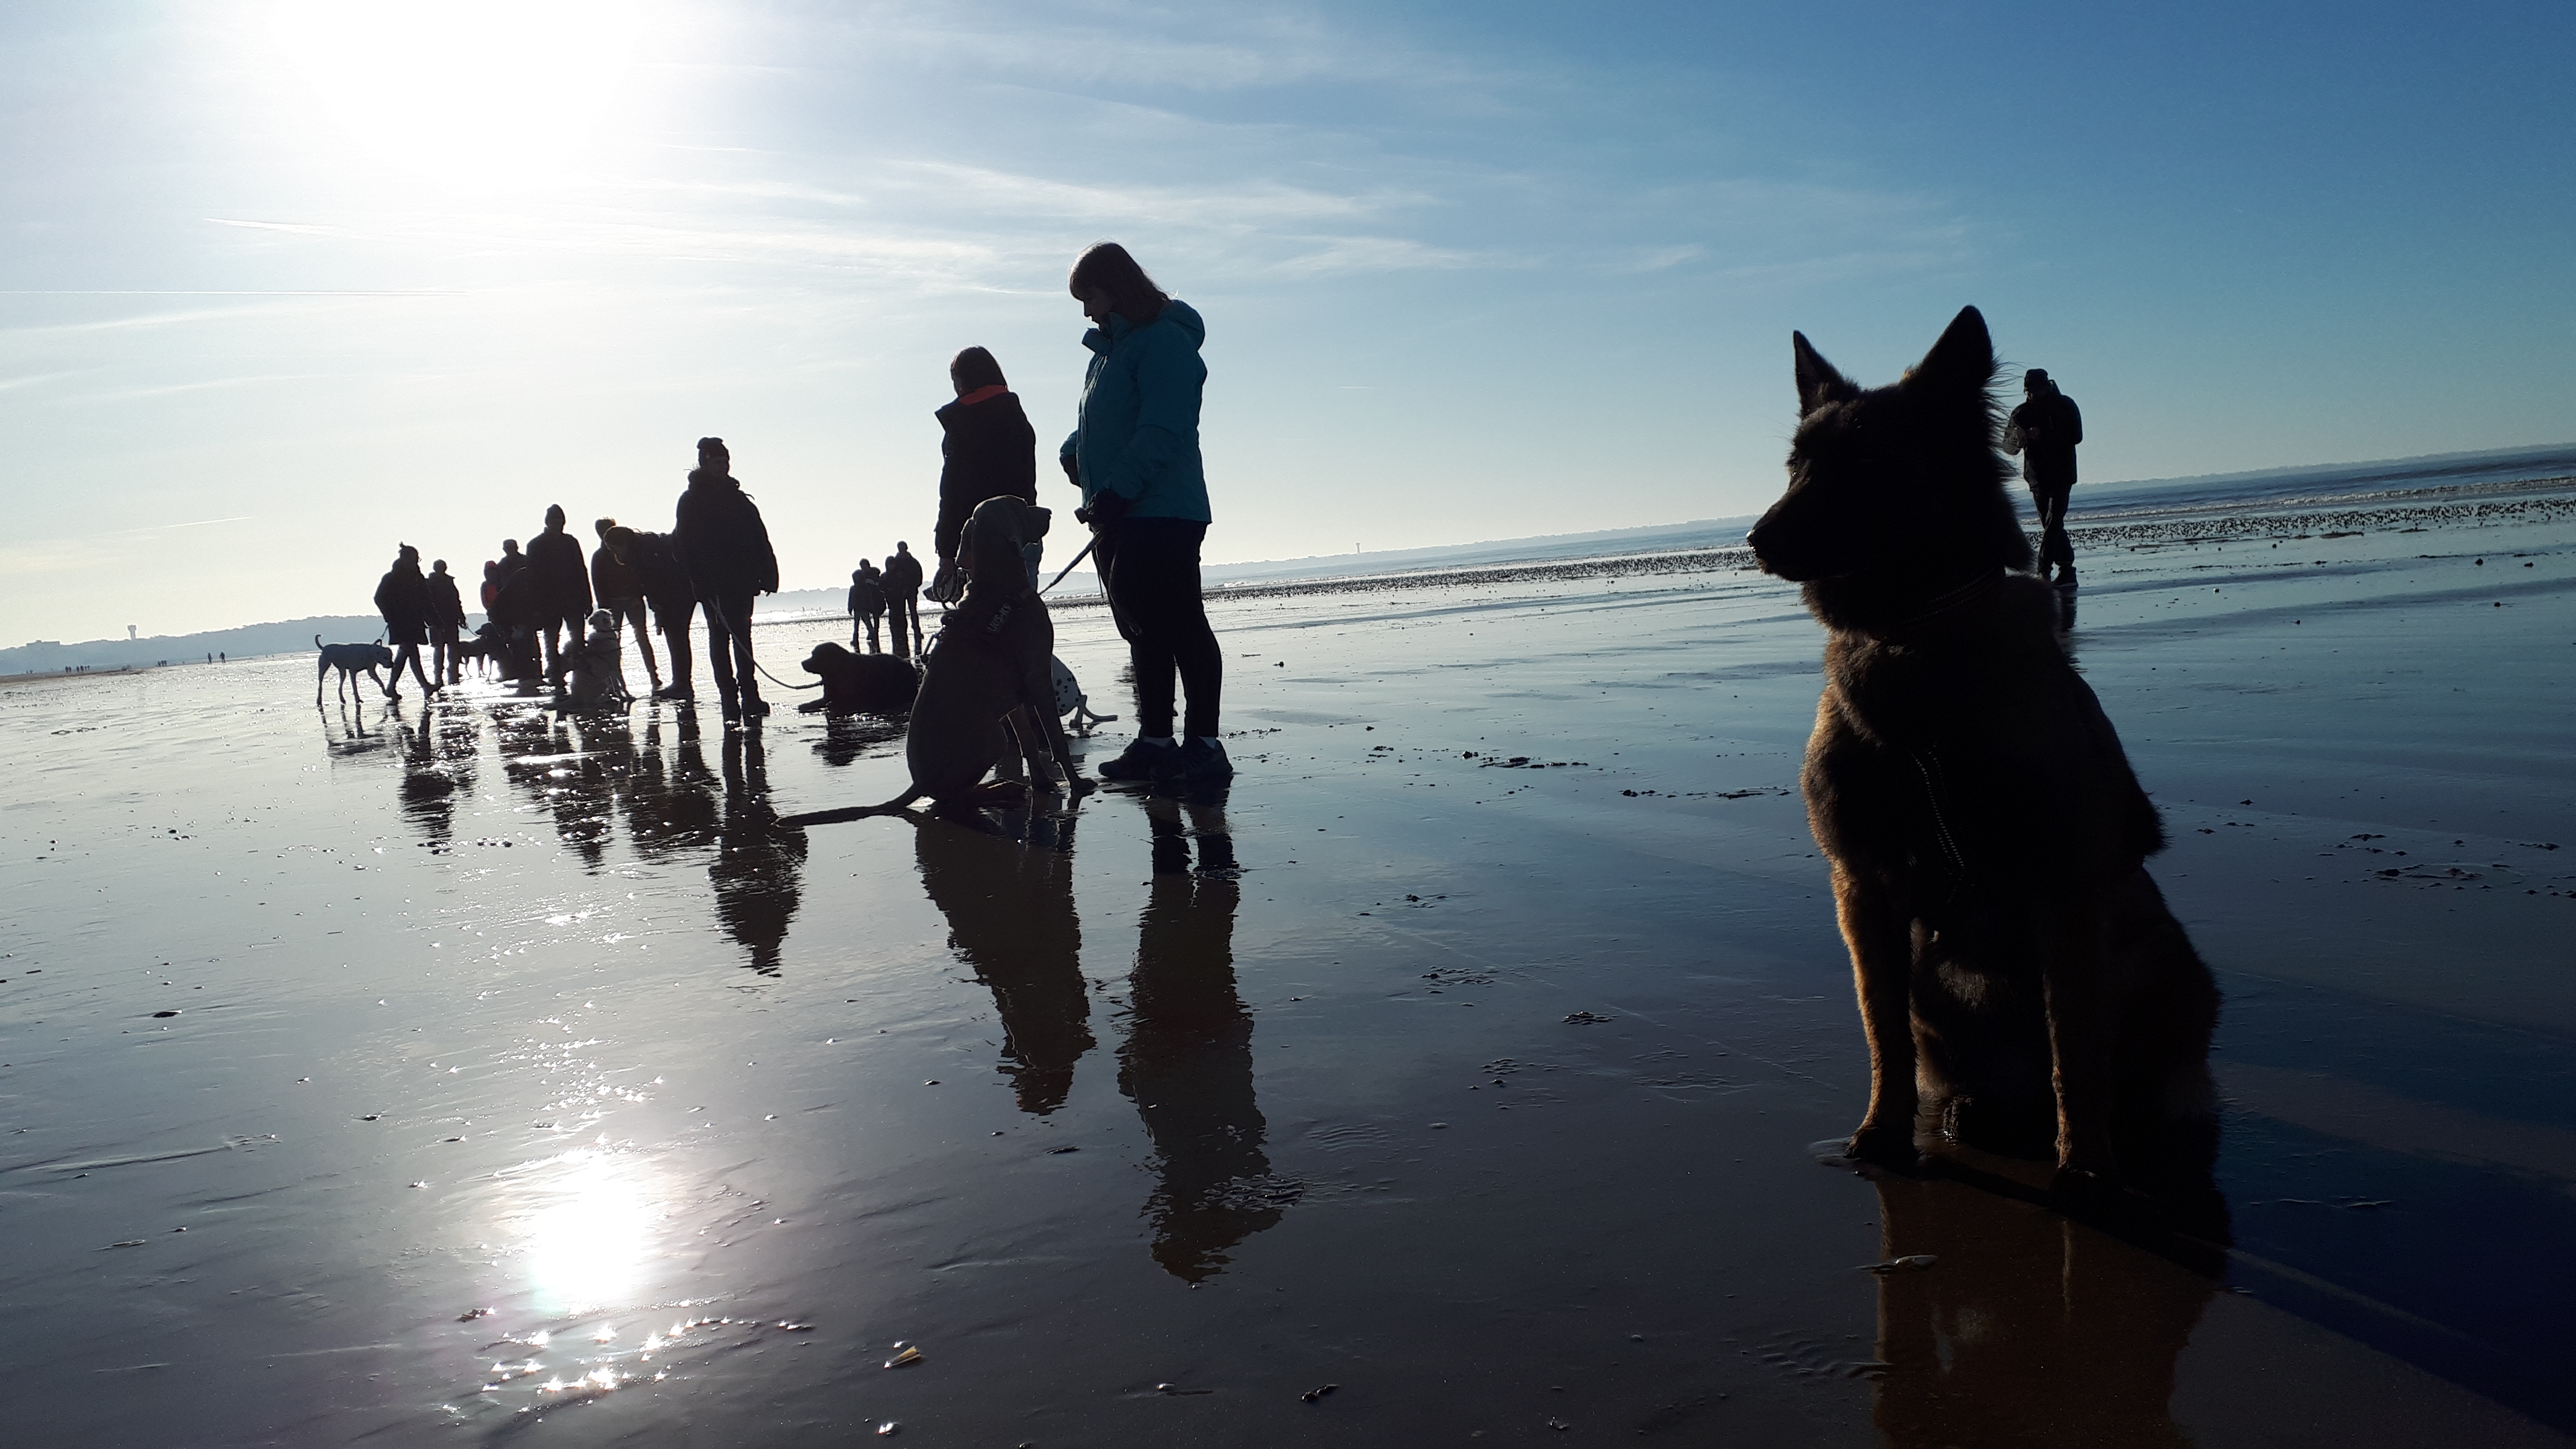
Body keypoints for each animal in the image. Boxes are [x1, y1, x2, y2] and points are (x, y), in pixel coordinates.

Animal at [315, 629, 394, 701]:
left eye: (391, 657)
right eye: (385, 657)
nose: (392, 665)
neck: (368, 653)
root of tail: (324, 648)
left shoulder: (371, 671)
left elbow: (380, 682)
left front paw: (386, 693)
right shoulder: (353, 672)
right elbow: (355, 687)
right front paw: (357, 699)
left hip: (342, 671)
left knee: (340, 686)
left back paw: (342, 699)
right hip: (323, 668)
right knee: (320, 684)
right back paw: (319, 700)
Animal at [778, 492, 1071, 815]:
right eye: (1021, 504)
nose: (1050, 512)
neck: (1000, 589)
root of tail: (920, 784)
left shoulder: (1013, 699)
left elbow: (1029, 742)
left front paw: (1044, 783)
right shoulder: (1038, 675)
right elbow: (1056, 739)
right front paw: (1079, 784)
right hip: (994, 738)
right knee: (952, 800)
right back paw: (1000, 788)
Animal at [1741, 304, 2225, 1216]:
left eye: (1866, 464)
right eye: (1796, 467)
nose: (1756, 539)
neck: (1914, 643)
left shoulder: (2064, 887)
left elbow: (2076, 1042)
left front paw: (2088, 1173)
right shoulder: (1865, 889)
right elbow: (1883, 1029)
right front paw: (1883, 1136)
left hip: (2161, 958)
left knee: (2126, 1068)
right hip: (1936, 970)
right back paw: (1977, 1111)